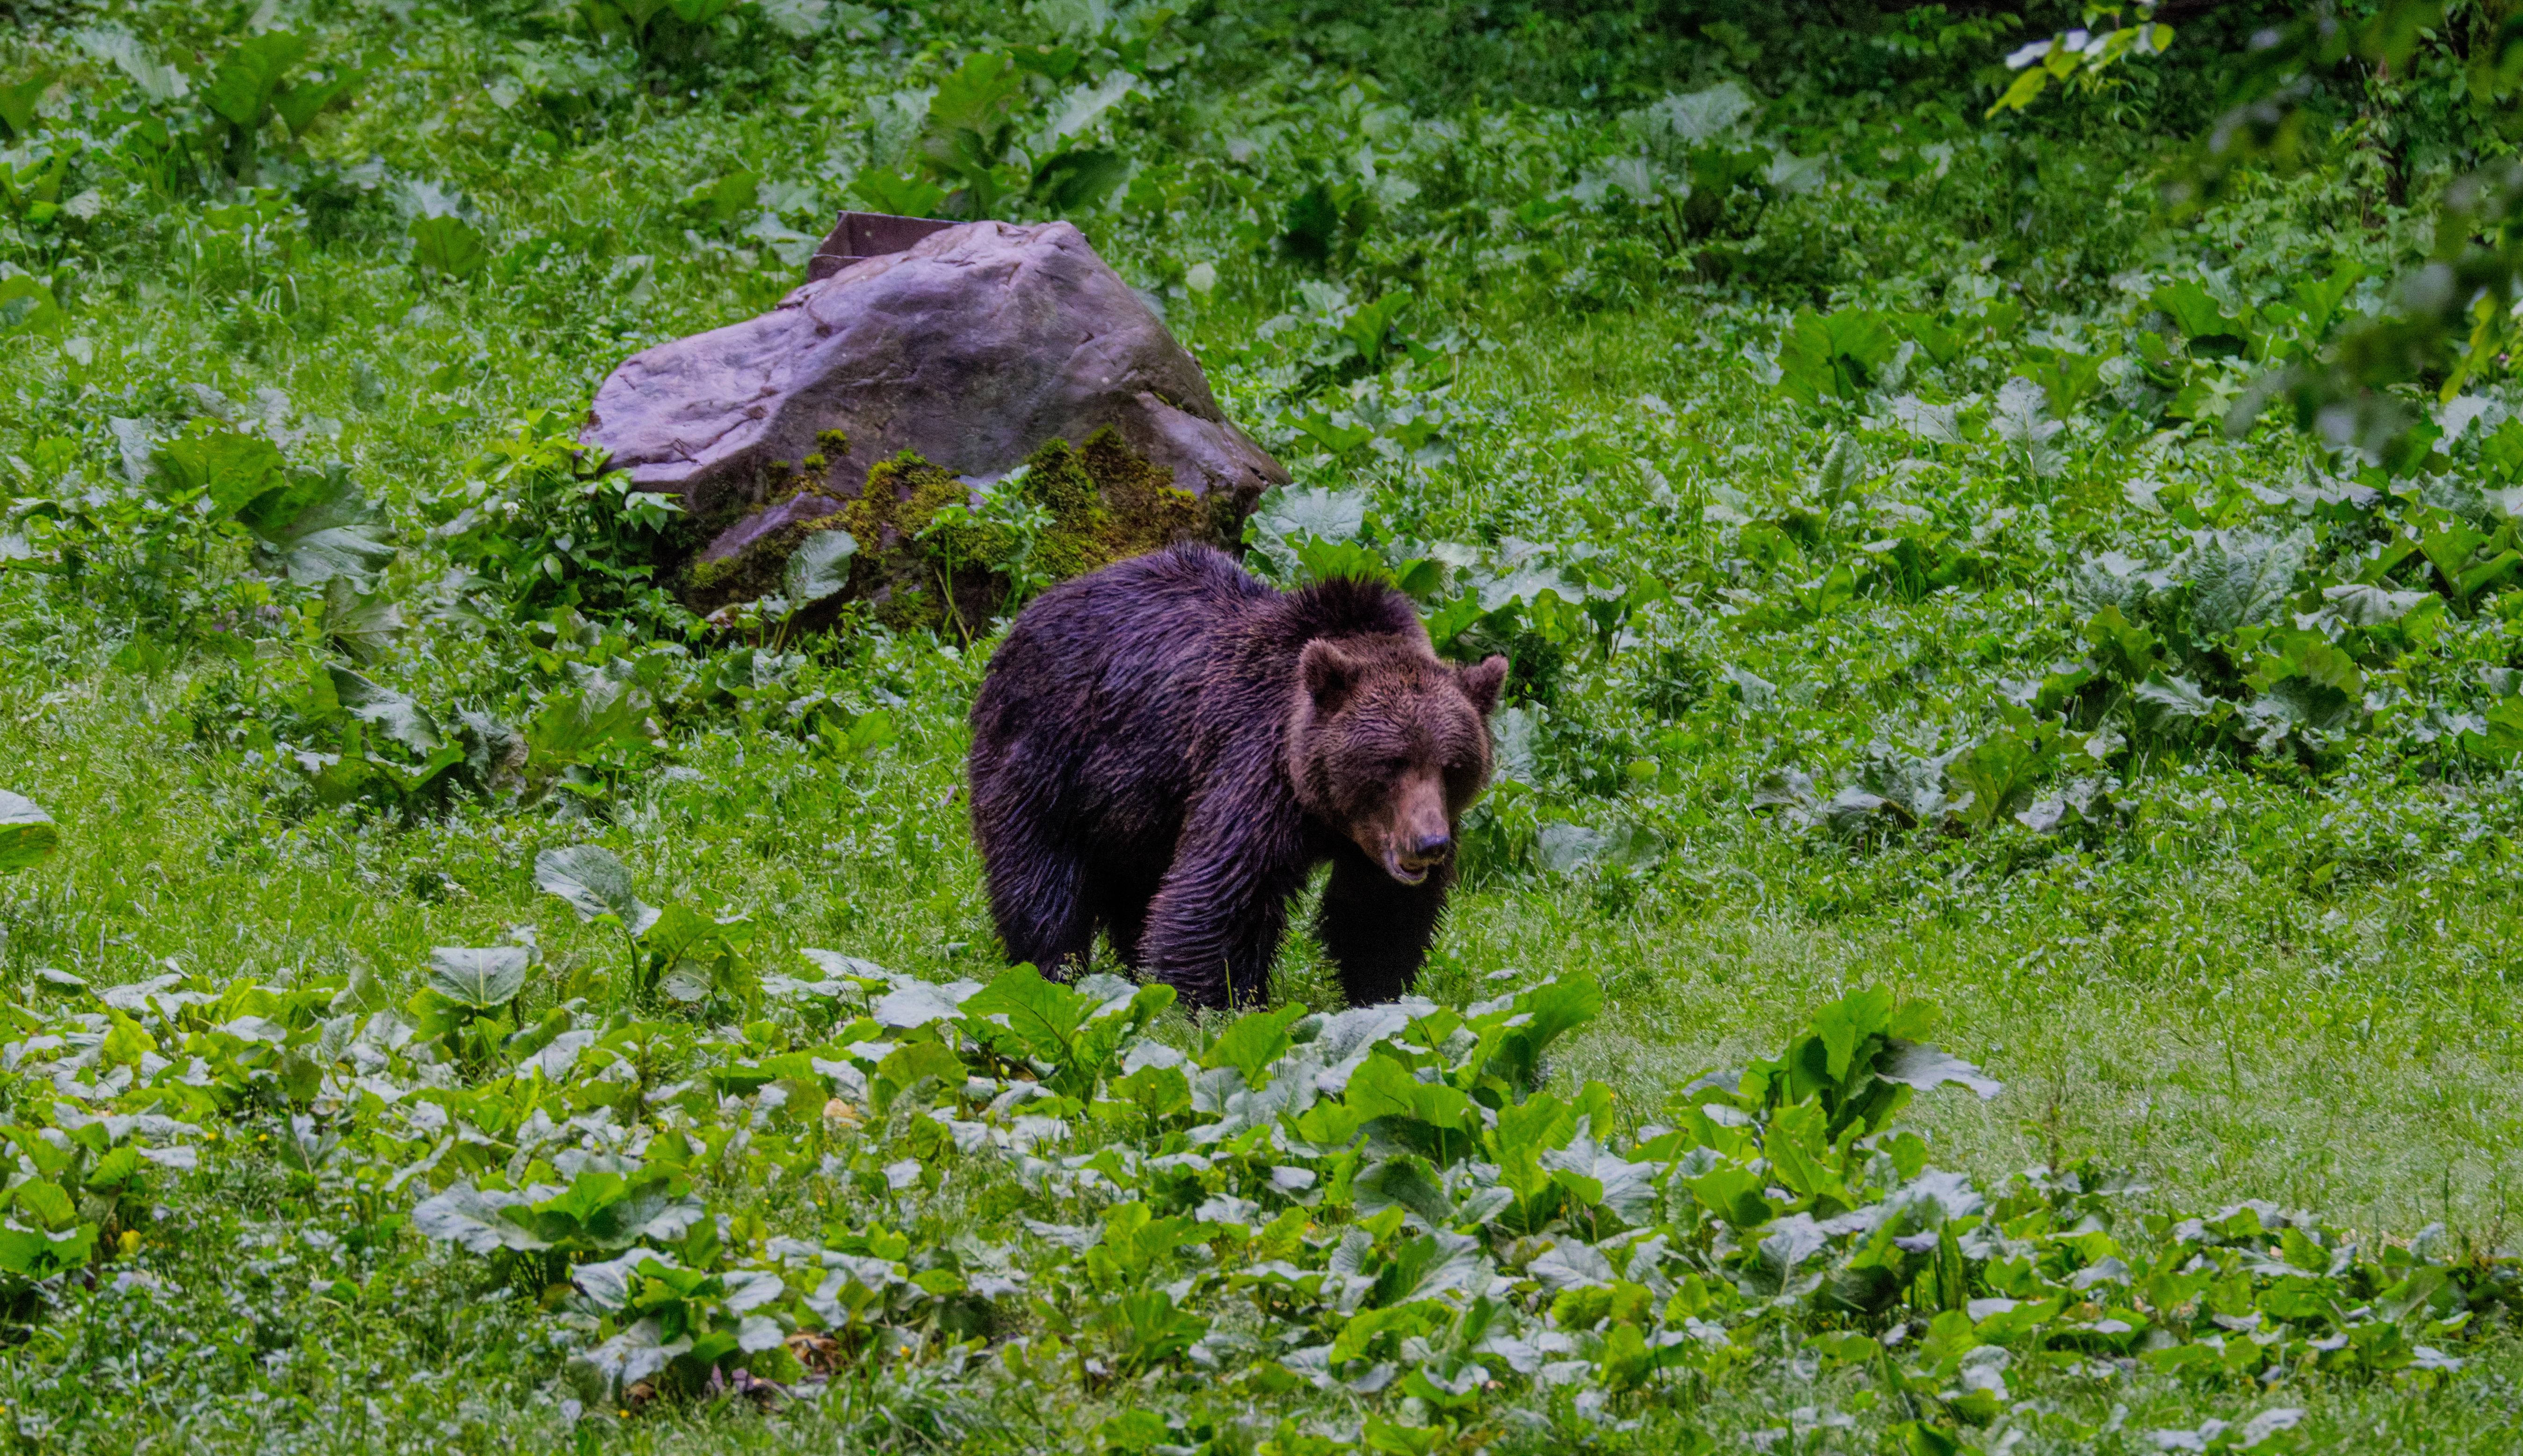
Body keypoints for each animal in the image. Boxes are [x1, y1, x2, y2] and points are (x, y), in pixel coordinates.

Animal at [967, 542, 1509, 1010]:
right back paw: (1053, 973)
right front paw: (1219, 1006)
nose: (1429, 844)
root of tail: (1032, 610)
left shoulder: (1376, 844)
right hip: (1052, 757)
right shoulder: (1251, 769)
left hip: (1136, 805)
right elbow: (1220, 896)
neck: (1325, 811)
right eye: (1390, 762)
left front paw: (1378, 994)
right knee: (1043, 882)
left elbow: (1378, 916)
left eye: (1452, 767)